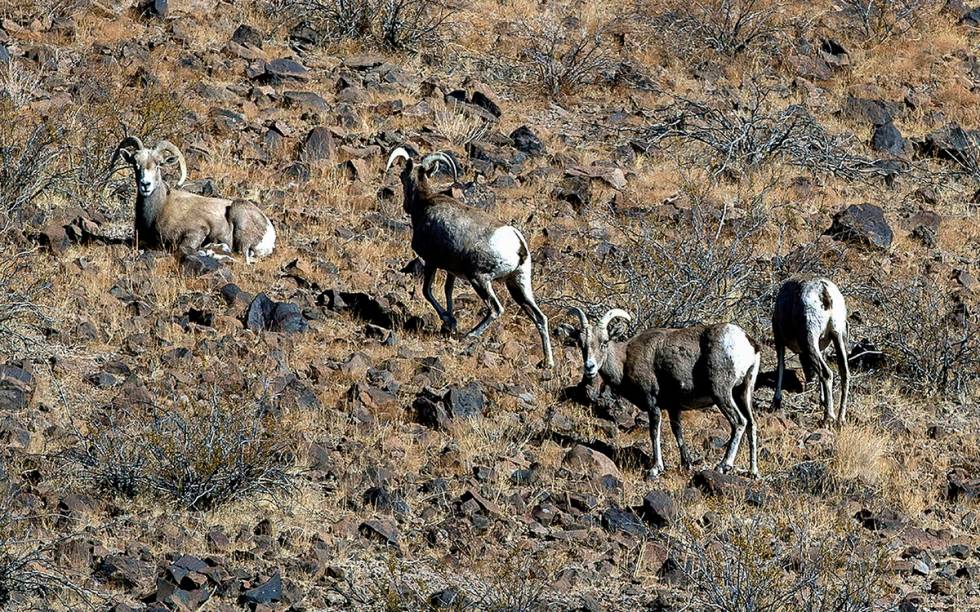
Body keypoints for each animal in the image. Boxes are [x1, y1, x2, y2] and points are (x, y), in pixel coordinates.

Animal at [108, 137, 276, 262]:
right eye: (136, 165)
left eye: (159, 165)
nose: (145, 185)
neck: (159, 210)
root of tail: (270, 233)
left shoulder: (197, 231)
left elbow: (182, 249)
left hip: (238, 215)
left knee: (241, 256)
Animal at [386, 147, 556, 368]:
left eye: (401, 176)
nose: (405, 206)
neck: (424, 204)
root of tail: (518, 245)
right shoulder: (451, 271)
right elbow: (447, 292)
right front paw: (450, 324)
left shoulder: (432, 263)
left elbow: (427, 292)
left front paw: (449, 321)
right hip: (518, 284)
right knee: (540, 317)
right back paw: (548, 363)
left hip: (480, 279)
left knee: (496, 309)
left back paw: (469, 335)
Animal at [568, 306, 764, 478]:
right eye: (582, 345)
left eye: (604, 343)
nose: (590, 367)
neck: (624, 361)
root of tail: (749, 343)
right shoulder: (673, 408)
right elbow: (678, 432)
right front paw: (686, 464)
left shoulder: (652, 404)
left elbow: (654, 432)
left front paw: (656, 469)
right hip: (743, 392)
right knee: (752, 424)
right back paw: (753, 472)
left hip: (721, 393)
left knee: (739, 422)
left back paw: (724, 465)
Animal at [772, 278, 848, 426]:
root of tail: (824, 291)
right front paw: (822, 400)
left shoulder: (779, 340)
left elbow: (781, 367)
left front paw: (776, 401)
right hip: (839, 335)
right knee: (844, 373)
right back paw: (840, 419)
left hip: (809, 338)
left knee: (826, 373)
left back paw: (828, 418)